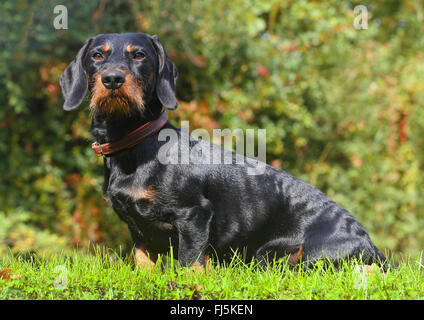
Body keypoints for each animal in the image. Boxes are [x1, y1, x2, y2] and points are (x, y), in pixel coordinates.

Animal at [60, 32, 390, 270]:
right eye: (97, 55)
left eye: (139, 54)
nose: (112, 79)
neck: (140, 145)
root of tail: (372, 247)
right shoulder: (139, 232)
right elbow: (143, 263)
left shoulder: (194, 216)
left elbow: (190, 265)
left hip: (311, 258)